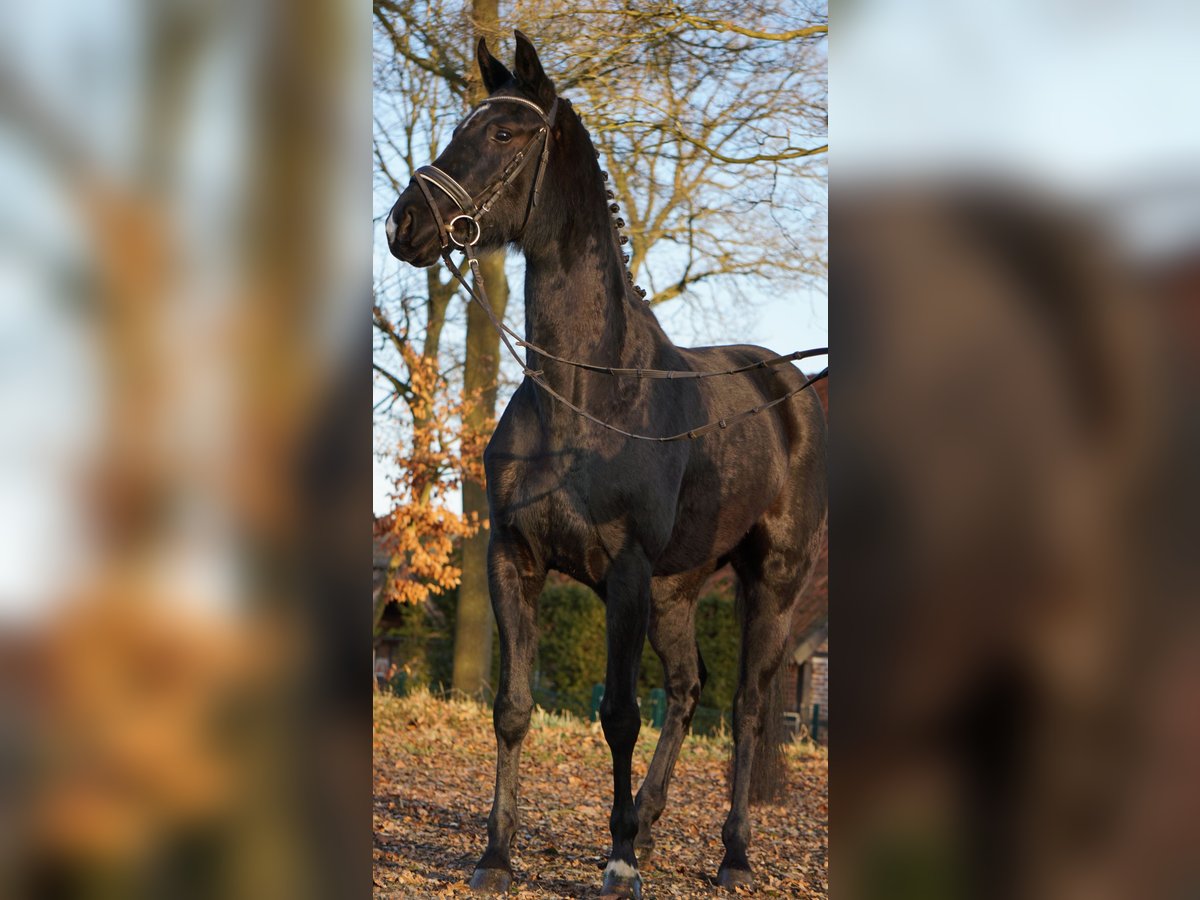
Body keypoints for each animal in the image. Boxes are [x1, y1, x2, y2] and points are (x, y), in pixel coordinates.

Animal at [384, 31, 825, 897]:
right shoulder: (515, 559)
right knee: (686, 691)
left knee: (746, 705)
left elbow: (619, 714)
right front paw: (497, 855)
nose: (404, 223)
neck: (588, 399)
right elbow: (513, 707)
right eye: (461, 124)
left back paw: (728, 854)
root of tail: (786, 388)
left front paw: (618, 864)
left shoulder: (622, 570)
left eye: (506, 132)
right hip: (677, 592)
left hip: (772, 582)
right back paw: (647, 825)